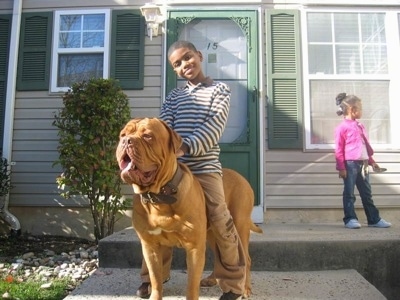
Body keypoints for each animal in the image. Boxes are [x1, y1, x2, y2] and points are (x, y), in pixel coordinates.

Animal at [115, 118, 262, 298]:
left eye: (148, 136)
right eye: (123, 135)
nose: (126, 141)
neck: (159, 196)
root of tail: (242, 177)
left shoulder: (194, 248)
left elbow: (191, 285)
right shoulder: (150, 246)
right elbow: (156, 280)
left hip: (238, 226)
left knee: (244, 258)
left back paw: (244, 288)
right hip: (211, 234)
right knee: (218, 256)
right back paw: (212, 279)